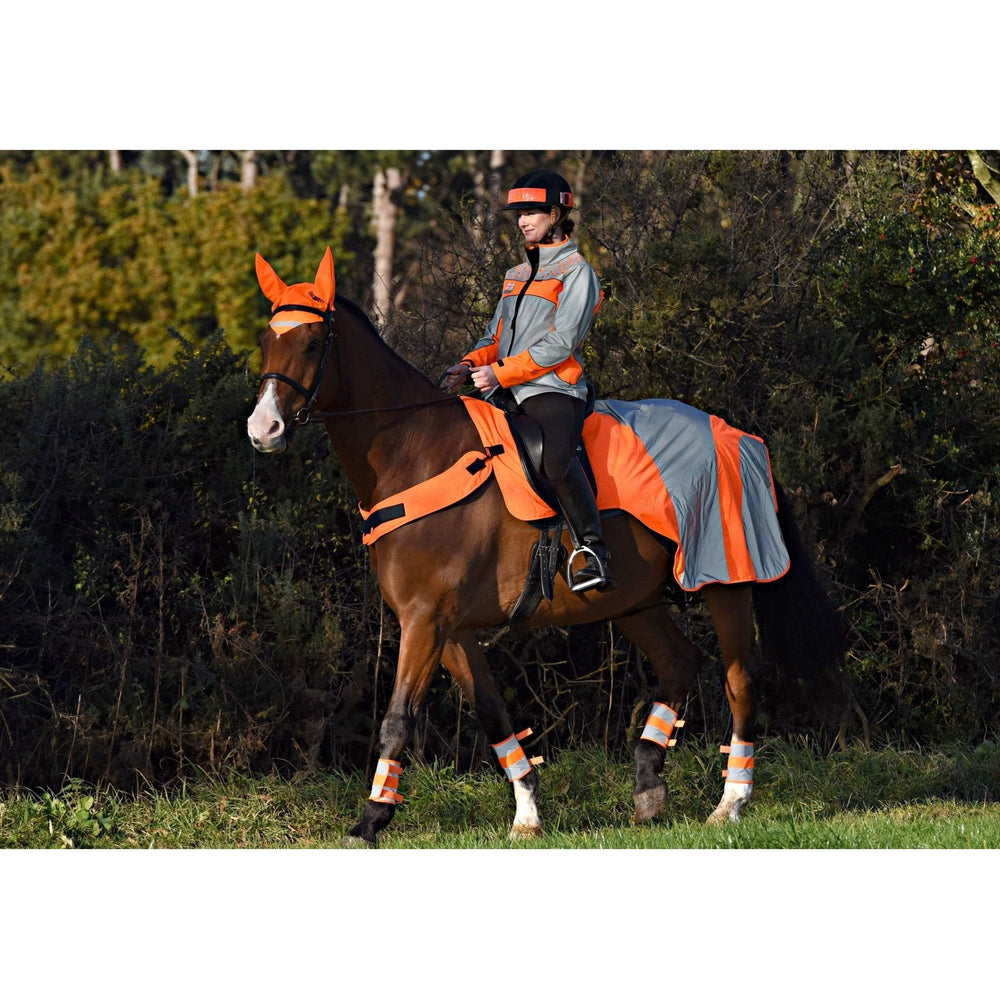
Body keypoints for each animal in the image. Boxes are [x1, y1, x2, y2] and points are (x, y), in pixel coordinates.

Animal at [246, 247, 845, 847]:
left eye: (314, 343)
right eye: (267, 341)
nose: (263, 429)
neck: (415, 453)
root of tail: (734, 434)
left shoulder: (425, 619)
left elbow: (398, 719)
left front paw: (371, 819)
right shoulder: (451, 629)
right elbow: (493, 713)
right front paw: (527, 813)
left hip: (725, 581)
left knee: (740, 682)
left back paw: (730, 803)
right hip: (633, 600)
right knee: (680, 663)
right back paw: (648, 784)